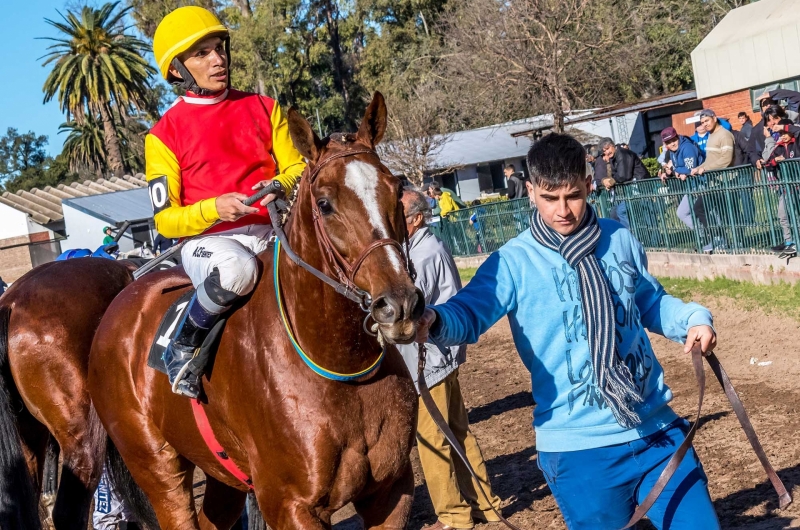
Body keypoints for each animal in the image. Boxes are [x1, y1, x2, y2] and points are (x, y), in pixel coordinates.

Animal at [86, 93, 424, 524]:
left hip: (223, 474)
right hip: (156, 467)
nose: (399, 304)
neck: (340, 364)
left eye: (395, 189)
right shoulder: (289, 504)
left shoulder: (392, 490)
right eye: (325, 204)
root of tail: (115, 307)